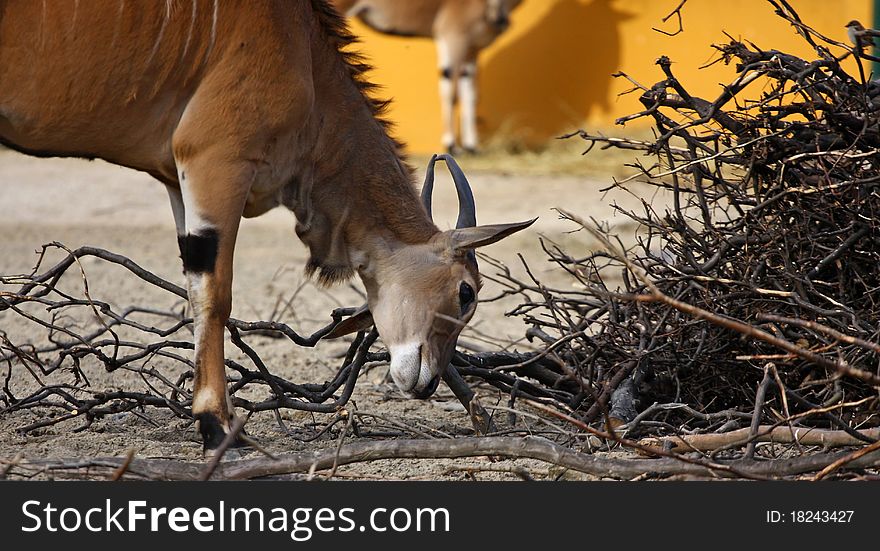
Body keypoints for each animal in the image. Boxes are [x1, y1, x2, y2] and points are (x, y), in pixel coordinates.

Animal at [330, 0, 524, 153]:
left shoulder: (471, 51)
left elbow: (470, 95)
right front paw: (451, 145)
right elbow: (451, 93)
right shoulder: (453, 37)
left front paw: (471, 146)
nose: (499, 19)